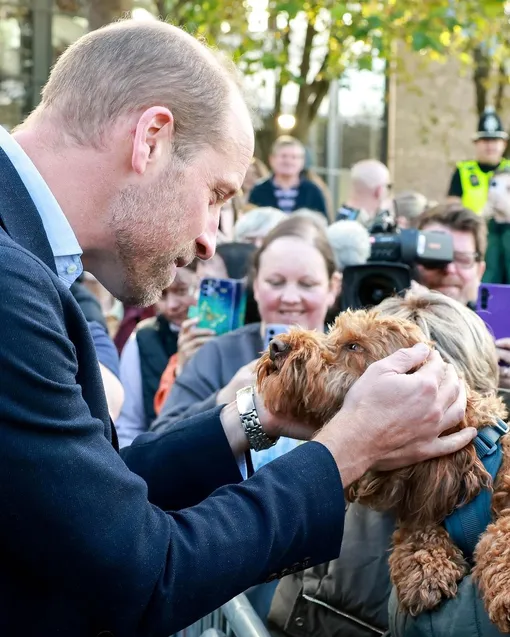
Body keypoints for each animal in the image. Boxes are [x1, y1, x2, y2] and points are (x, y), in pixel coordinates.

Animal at [255, 308, 510, 632]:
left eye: (353, 346)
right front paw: (425, 567)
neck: (479, 449)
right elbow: (416, 529)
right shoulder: (424, 504)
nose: (276, 346)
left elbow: (502, 531)